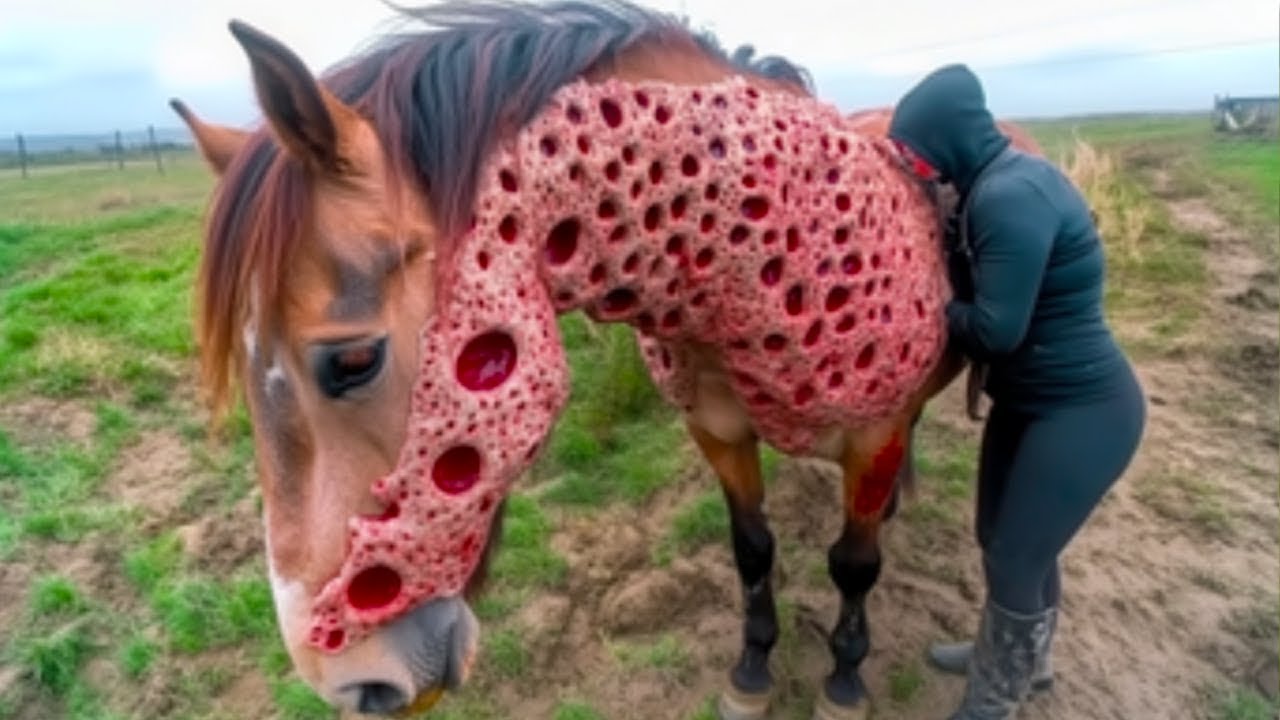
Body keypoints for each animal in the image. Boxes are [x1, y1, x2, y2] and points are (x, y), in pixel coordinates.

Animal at [169, 2, 1031, 717]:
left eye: (352, 361)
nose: (348, 683)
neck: (760, 267)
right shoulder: (717, 431)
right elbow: (752, 550)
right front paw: (752, 671)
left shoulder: (873, 435)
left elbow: (853, 565)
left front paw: (845, 680)